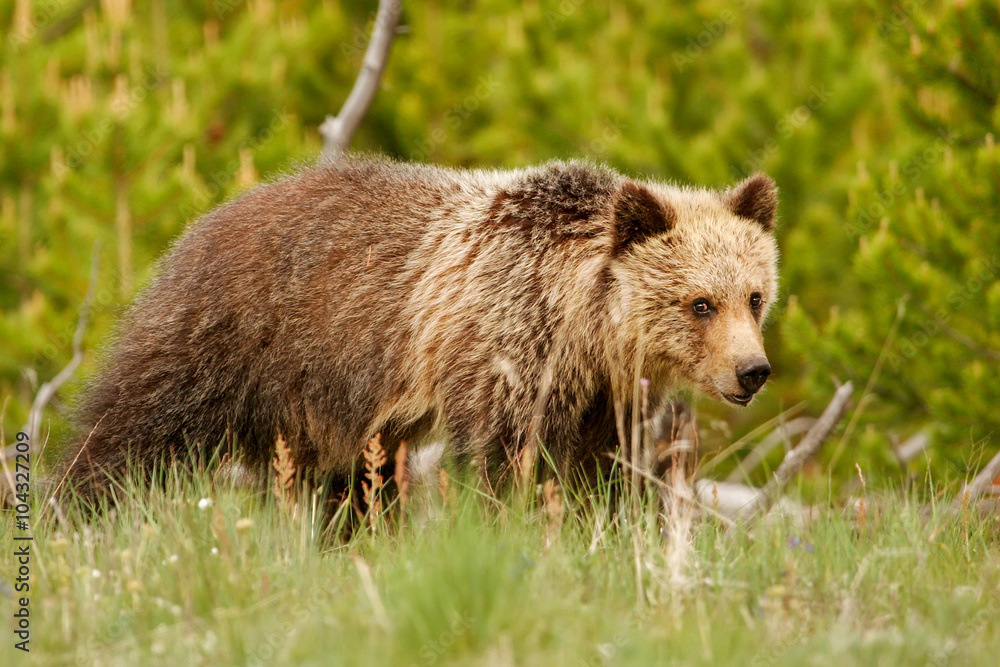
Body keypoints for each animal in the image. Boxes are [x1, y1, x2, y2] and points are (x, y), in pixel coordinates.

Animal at [55, 157, 778, 504]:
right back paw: (81, 505)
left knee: (346, 485)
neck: (585, 327)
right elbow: (501, 458)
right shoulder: (504, 344)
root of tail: (203, 220)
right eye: (700, 303)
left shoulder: (604, 395)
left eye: (755, 296)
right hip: (230, 335)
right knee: (135, 427)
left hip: (329, 405)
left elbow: (600, 470)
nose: (753, 371)